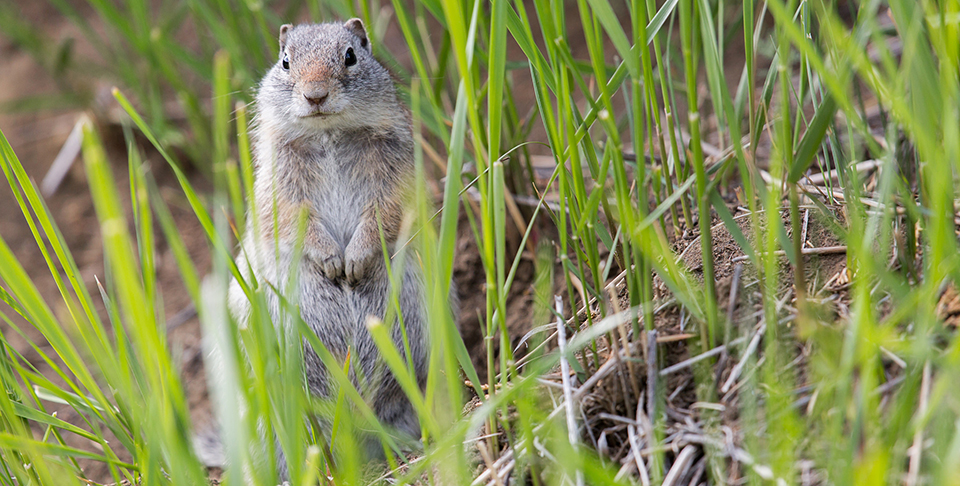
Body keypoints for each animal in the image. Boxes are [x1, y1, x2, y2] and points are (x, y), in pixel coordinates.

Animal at [214, 19, 431, 471]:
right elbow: (292, 220)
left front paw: (356, 260)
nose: (315, 95)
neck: (328, 132)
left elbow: (384, 212)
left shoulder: (397, 177)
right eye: (285, 61)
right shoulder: (278, 189)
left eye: (351, 55)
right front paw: (332, 261)